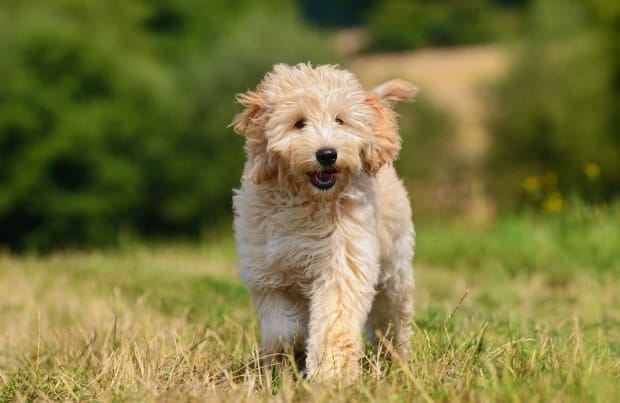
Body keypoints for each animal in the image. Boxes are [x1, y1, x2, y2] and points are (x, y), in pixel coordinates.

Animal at [231, 64, 416, 382]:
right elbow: (281, 329)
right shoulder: (267, 273)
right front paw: (290, 354)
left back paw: (395, 357)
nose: (327, 154)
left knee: (392, 315)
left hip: (394, 266)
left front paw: (332, 375)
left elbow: (334, 323)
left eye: (340, 120)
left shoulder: (342, 263)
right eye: (299, 123)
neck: (307, 201)